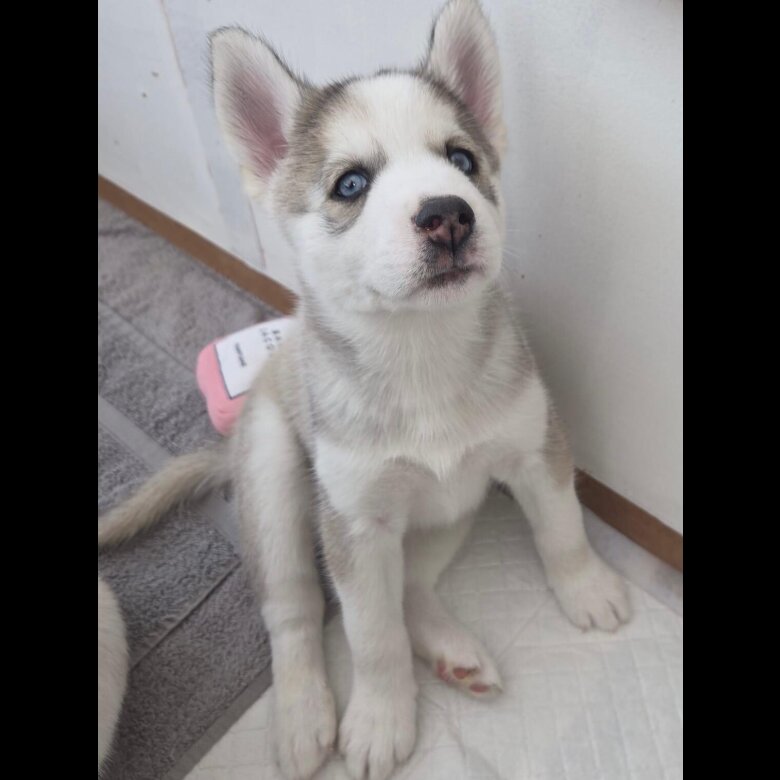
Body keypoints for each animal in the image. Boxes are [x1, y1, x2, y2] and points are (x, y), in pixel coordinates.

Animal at [98, 2, 631, 778]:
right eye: (351, 184)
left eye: (462, 161)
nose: (448, 213)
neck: (422, 357)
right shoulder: (353, 525)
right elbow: (370, 635)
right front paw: (380, 717)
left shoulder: (534, 451)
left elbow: (561, 527)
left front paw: (585, 588)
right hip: (279, 489)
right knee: (292, 614)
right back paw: (301, 715)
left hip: (448, 509)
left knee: (409, 586)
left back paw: (453, 651)